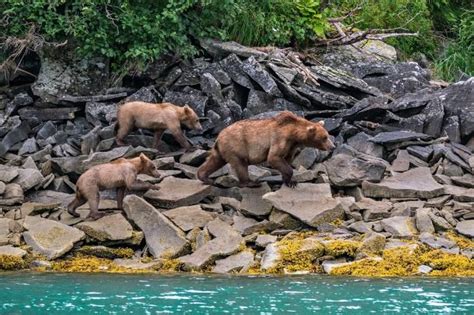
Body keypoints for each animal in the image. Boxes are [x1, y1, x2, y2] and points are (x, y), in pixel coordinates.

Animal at [198, 111, 336, 188]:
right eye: (324, 137)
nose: (333, 146)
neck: (293, 133)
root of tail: (219, 136)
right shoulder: (279, 138)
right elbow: (273, 157)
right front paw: (291, 181)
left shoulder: (291, 145)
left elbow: (287, 159)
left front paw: (288, 181)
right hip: (236, 145)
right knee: (240, 164)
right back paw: (251, 183)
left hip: (222, 149)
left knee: (215, 161)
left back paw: (205, 177)